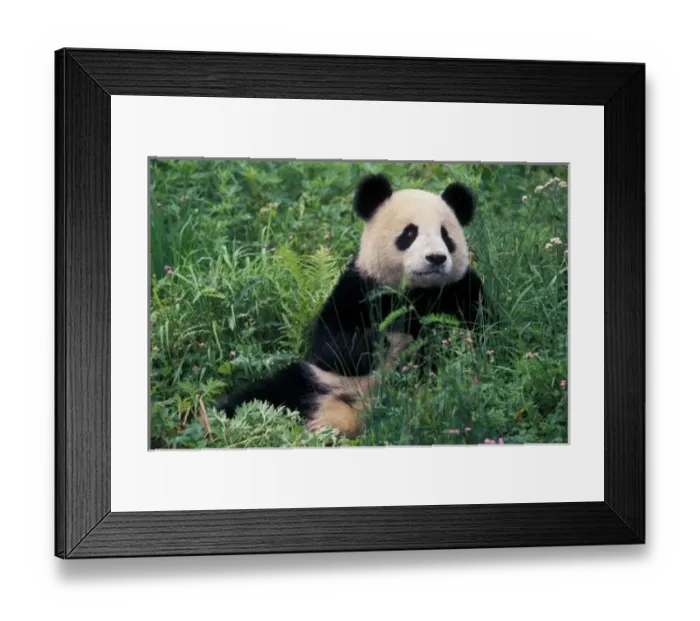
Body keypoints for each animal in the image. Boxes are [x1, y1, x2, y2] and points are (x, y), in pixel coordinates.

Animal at [215, 173, 488, 438]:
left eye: (446, 235)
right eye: (410, 233)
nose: (436, 258)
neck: (415, 291)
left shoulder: (461, 289)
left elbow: (484, 335)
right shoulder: (358, 286)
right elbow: (329, 344)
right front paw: (379, 341)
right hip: (317, 381)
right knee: (264, 394)